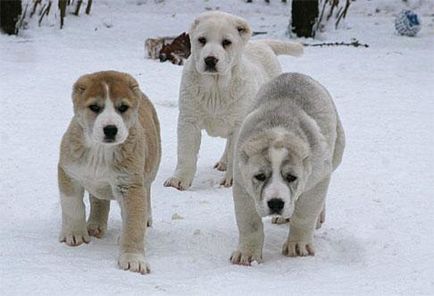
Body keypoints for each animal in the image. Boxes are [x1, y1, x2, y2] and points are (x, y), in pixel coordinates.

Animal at [56, 70, 160, 274]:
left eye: (123, 107)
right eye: (94, 107)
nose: (110, 129)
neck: (99, 151)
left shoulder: (130, 185)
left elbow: (133, 224)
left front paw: (133, 258)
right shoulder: (68, 172)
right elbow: (72, 206)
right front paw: (75, 234)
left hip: (150, 170)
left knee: (147, 193)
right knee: (98, 200)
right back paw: (95, 225)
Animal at [163, 11, 302, 190]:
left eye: (226, 42)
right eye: (202, 40)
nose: (210, 59)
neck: (215, 88)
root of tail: (262, 43)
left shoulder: (239, 124)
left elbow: (236, 154)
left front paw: (232, 181)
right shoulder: (189, 121)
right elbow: (186, 153)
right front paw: (179, 180)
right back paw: (223, 162)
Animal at [231, 73, 346, 264]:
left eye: (292, 177)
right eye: (260, 176)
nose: (276, 203)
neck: (279, 128)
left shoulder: (318, 177)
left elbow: (304, 215)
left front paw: (298, 246)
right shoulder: (241, 182)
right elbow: (249, 222)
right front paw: (247, 254)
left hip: (336, 151)